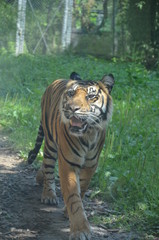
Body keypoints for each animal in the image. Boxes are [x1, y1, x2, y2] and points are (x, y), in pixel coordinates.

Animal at [27, 71, 114, 240]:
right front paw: (80, 230)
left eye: (91, 96)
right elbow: (74, 197)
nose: (72, 108)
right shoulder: (68, 163)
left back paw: (40, 178)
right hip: (50, 144)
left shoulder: (91, 164)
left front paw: (69, 213)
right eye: (71, 94)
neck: (88, 134)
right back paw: (48, 194)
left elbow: (82, 188)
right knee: (48, 167)